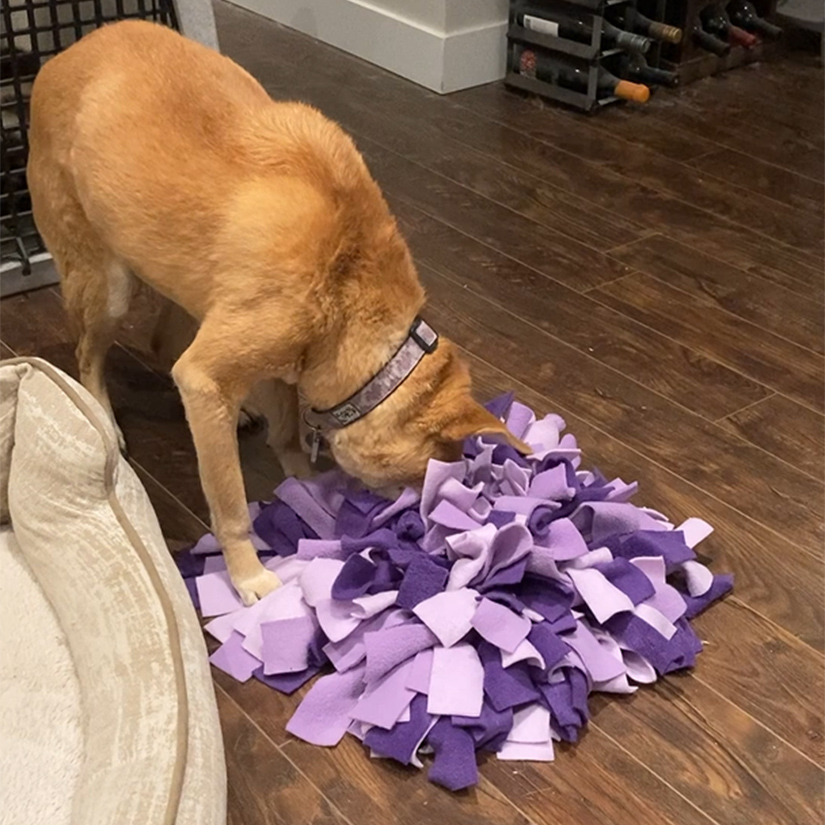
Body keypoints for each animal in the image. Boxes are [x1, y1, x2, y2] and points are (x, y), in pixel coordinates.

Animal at [25, 16, 532, 600]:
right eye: (422, 479)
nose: (421, 528)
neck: (346, 270)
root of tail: (62, 56)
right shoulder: (208, 376)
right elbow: (229, 503)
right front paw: (248, 573)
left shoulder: (287, 357)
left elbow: (287, 426)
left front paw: (305, 488)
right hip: (107, 284)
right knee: (89, 356)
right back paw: (103, 416)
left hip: (184, 276)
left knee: (163, 339)